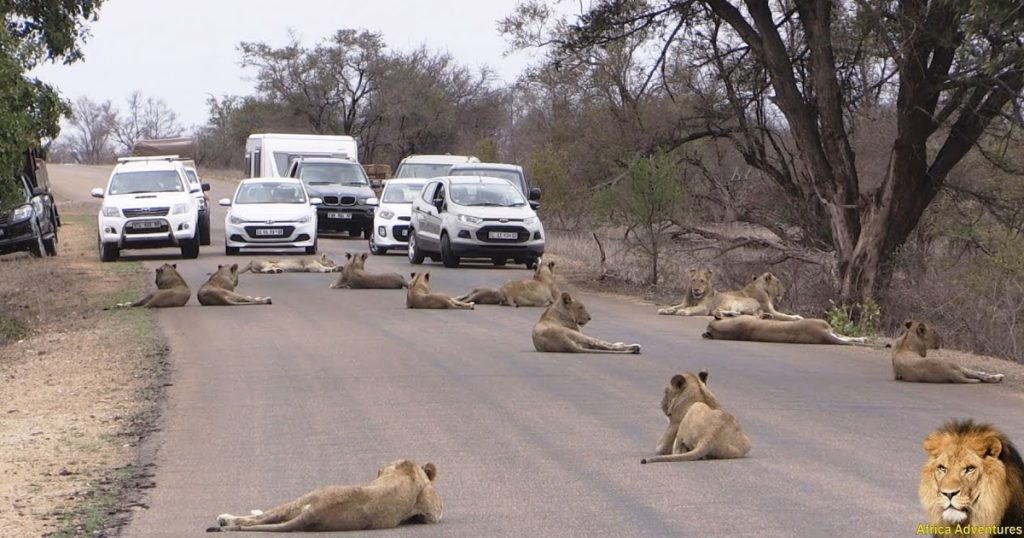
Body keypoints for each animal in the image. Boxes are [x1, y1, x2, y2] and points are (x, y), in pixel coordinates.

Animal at [659, 270, 802, 321]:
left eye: (702, 281)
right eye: (778, 282)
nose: (785, 291)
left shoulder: (703, 307)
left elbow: (784, 315)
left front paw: (797, 317)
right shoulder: (685, 303)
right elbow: (674, 307)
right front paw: (665, 310)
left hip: (736, 303)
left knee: (739, 313)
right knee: (736, 313)